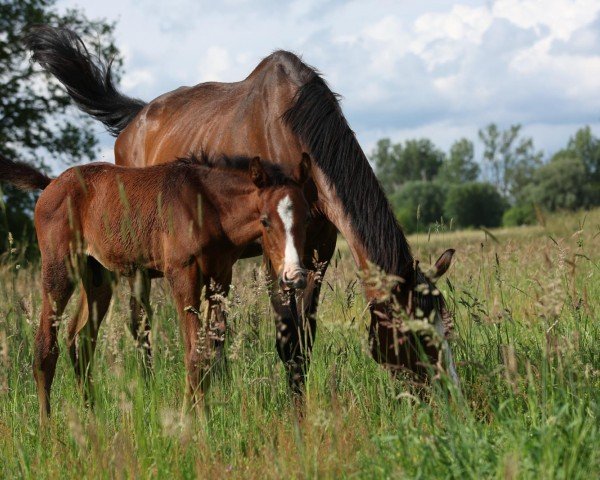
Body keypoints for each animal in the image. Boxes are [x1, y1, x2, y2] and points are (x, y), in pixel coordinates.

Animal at [0, 152, 312, 418]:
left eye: (306, 218)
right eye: (265, 220)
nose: (294, 277)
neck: (208, 207)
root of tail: (50, 183)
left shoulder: (220, 279)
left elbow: (209, 349)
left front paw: (198, 412)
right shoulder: (182, 275)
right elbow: (194, 352)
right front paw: (194, 420)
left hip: (98, 277)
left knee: (80, 338)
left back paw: (92, 414)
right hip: (59, 270)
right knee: (45, 346)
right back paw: (47, 427)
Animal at [22, 24, 454, 388]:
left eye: (446, 326)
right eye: (415, 337)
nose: (445, 396)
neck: (291, 130)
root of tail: (134, 119)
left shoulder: (318, 250)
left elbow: (303, 338)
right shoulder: (271, 253)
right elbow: (287, 344)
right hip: (135, 263)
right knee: (139, 323)